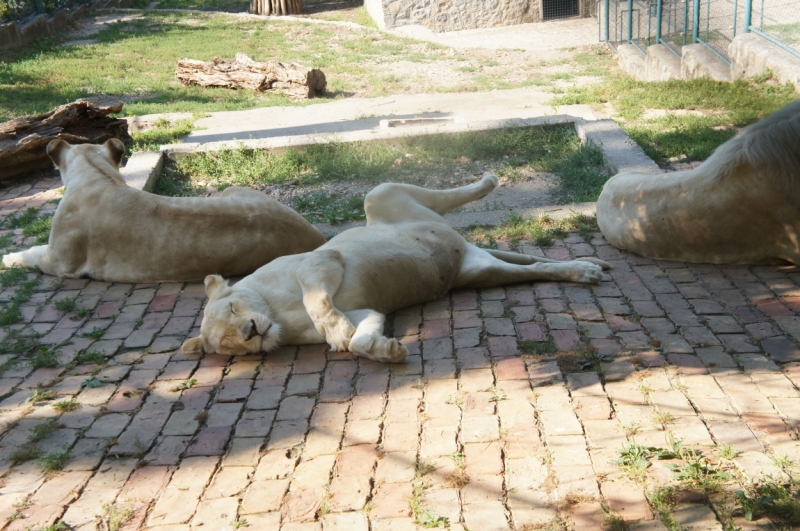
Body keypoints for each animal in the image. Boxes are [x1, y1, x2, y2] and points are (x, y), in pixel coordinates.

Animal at [2, 139, 328, 284]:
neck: (97, 175)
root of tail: (317, 238)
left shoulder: (59, 260)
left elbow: (28, 254)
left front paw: (7, 257)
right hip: (234, 189)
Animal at [183, 177, 612, 364]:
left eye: (234, 309)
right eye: (227, 342)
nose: (251, 332)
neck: (276, 315)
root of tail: (463, 246)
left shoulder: (321, 260)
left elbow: (318, 301)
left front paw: (335, 332)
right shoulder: (367, 310)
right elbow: (359, 340)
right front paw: (383, 349)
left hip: (380, 195)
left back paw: (489, 181)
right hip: (483, 272)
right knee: (536, 264)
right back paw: (588, 268)